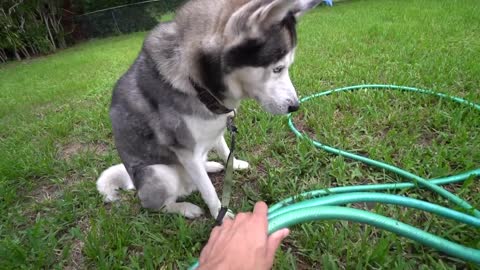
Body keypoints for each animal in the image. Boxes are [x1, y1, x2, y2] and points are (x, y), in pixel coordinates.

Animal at [97, 0, 322, 219]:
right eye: (277, 68)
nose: (295, 106)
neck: (197, 84)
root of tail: (135, 186)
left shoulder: (216, 127)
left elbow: (224, 148)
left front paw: (234, 164)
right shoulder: (187, 153)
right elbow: (207, 190)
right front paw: (220, 214)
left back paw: (210, 166)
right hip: (160, 173)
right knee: (159, 205)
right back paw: (186, 208)